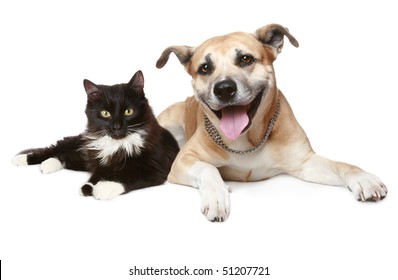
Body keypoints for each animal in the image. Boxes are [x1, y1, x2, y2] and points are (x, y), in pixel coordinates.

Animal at [12, 71, 180, 200]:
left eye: (128, 112)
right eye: (105, 113)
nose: (116, 126)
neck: (118, 145)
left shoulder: (155, 169)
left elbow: (128, 176)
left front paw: (102, 188)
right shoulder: (100, 160)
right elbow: (101, 175)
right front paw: (92, 187)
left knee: (65, 157)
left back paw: (47, 164)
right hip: (80, 146)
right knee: (54, 150)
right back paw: (23, 159)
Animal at [156, 23, 388, 222]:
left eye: (246, 59)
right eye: (205, 68)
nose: (224, 89)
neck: (247, 141)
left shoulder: (304, 162)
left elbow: (342, 165)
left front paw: (363, 178)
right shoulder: (184, 159)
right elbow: (207, 168)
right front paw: (216, 196)